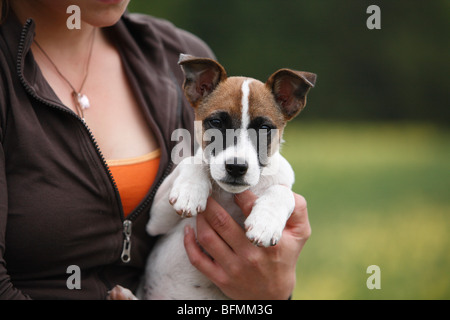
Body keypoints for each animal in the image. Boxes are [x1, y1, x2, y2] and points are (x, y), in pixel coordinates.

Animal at [109, 53, 316, 300]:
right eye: (216, 123)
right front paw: (190, 191)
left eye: (265, 128)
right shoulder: (156, 222)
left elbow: (283, 192)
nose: (236, 167)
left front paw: (265, 222)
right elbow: (194, 160)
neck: (228, 195)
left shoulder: (284, 186)